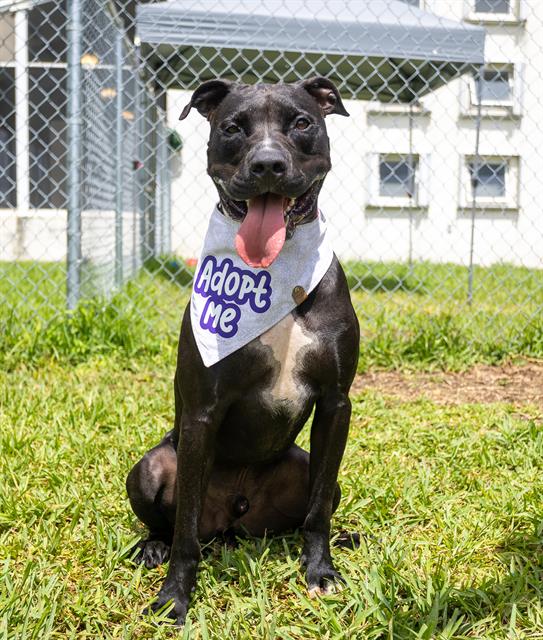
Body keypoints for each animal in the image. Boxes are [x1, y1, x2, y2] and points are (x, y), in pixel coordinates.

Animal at [125, 77, 360, 624]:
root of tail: (234, 521)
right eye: (233, 128)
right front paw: (175, 597)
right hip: (150, 467)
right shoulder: (202, 413)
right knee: (176, 523)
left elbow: (317, 510)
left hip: (310, 471)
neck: (276, 275)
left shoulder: (336, 403)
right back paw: (153, 546)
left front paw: (320, 570)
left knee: (314, 504)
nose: (268, 165)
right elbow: (186, 531)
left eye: (302, 123)